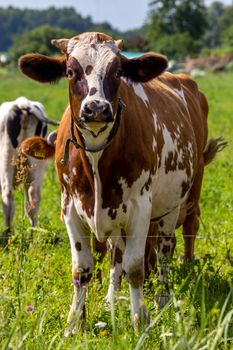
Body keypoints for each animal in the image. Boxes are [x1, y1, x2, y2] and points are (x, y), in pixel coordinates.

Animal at [0, 96, 57, 241]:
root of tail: (22, 103)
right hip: (37, 166)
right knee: (33, 200)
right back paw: (32, 236)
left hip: (6, 161)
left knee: (8, 197)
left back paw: (8, 235)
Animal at [18, 32, 226, 334]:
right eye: (70, 72)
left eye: (117, 72)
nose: (96, 108)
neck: (97, 155)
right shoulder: (70, 209)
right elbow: (82, 269)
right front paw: (75, 324)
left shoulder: (140, 208)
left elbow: (136, 268)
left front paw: (140, 322)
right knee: (117, 256)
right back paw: (111, 301)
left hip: (176, 203)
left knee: (167, 248)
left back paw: (162, 301)